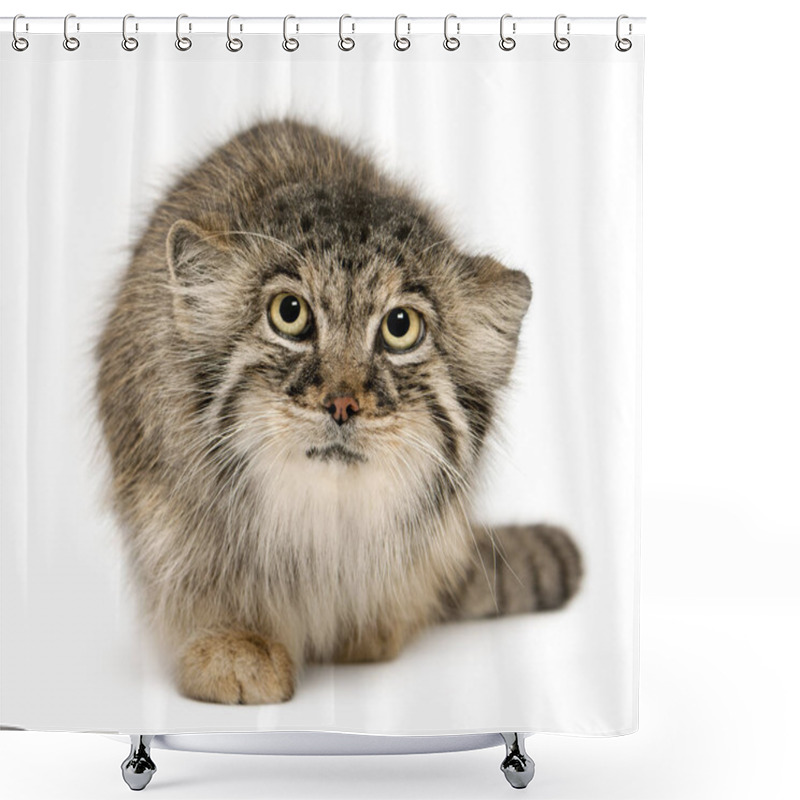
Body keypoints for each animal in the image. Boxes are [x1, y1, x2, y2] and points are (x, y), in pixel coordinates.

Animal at [95, 122, 580, 704]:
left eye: (400, 326)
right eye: (289, 313)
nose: (343, 403)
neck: (319, 520)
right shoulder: (164, 515)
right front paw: (231, 642)